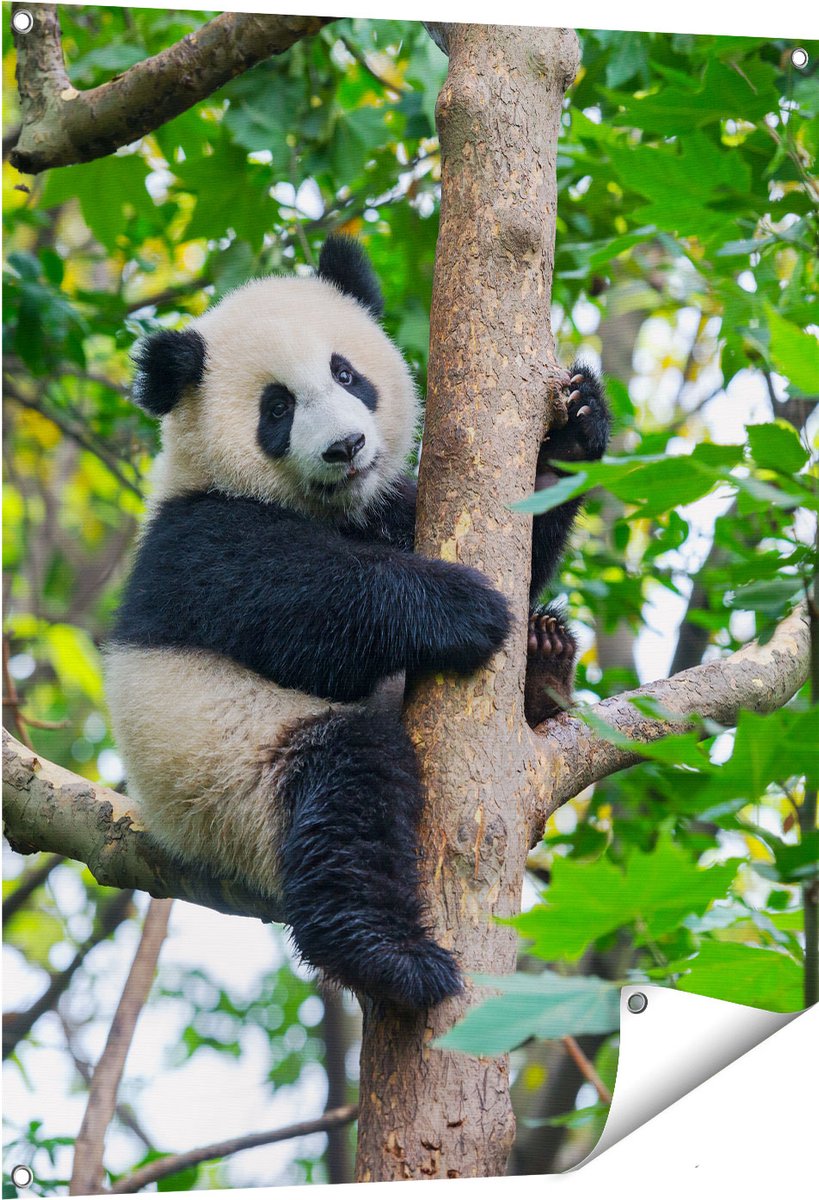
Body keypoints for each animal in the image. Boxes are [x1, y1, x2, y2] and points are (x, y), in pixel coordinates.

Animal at [105, 236, 610, 1010]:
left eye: (347, 373)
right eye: (277, 408)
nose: (345, 446)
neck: (326, 507)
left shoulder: (388, 507)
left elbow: (525, 537)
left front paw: (575, 427)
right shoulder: (197, 541)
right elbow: (302, 609)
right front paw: (462, 608)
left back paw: (544, 660)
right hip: (232, 779)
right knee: (345, 795)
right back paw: (391, 957)